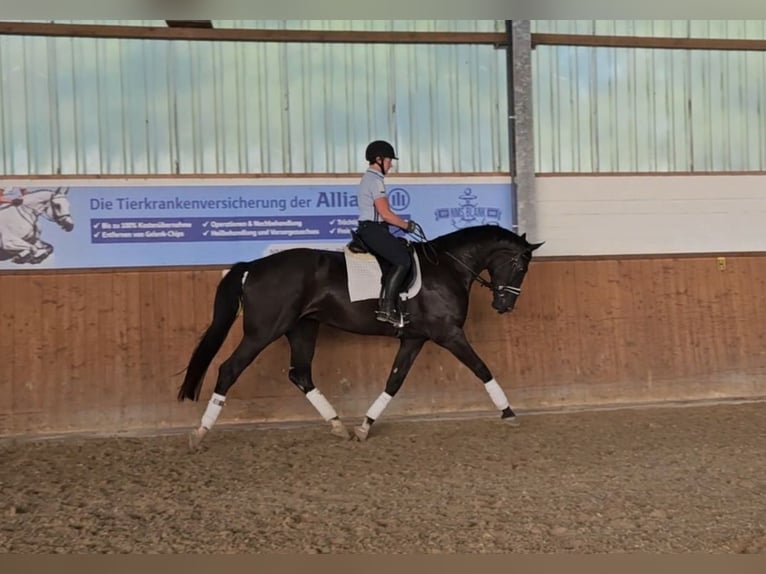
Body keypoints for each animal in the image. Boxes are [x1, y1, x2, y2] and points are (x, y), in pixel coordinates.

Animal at [177, 225, 544, 450]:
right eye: (521, 266)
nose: (504, 306)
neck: (447, 268)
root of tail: (253, 266)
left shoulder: (414, 339)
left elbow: (393, 381)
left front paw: (365, 426)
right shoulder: (449, 334)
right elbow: (482, 369)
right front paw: (509, 413)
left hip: (303, 328)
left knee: (301, 374)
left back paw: (337, 424)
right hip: (264, 331)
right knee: (229, 369)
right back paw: (200, 433)